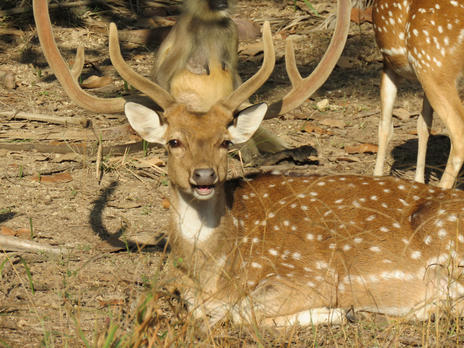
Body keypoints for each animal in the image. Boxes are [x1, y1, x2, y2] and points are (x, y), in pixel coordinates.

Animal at [372, 0, 464, 190]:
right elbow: (423, 125)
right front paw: (419, 181)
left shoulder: (389, 64)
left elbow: (385, 126)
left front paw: (376, 177)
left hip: (433, 65)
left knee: (459, 133)